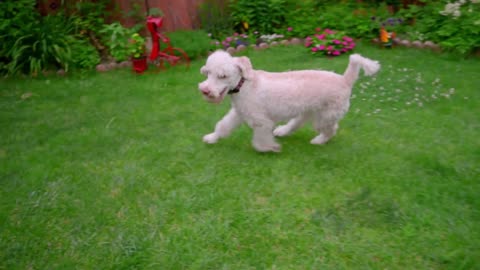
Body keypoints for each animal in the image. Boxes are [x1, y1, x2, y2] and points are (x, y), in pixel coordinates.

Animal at [198, 50, 378, 152]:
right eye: (207, 73)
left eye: (222, 76)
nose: (205, 90)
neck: (244, 85)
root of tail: (345, 79)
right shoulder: (238, 114)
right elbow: (223, 126)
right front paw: (212, 138)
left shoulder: (261, 122)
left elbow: (259, 140)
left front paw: (269, 147)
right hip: (309, 111)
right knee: (297, 123)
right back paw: (283, 131)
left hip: (324, 116)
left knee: (331, 130)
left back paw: (318, 140)